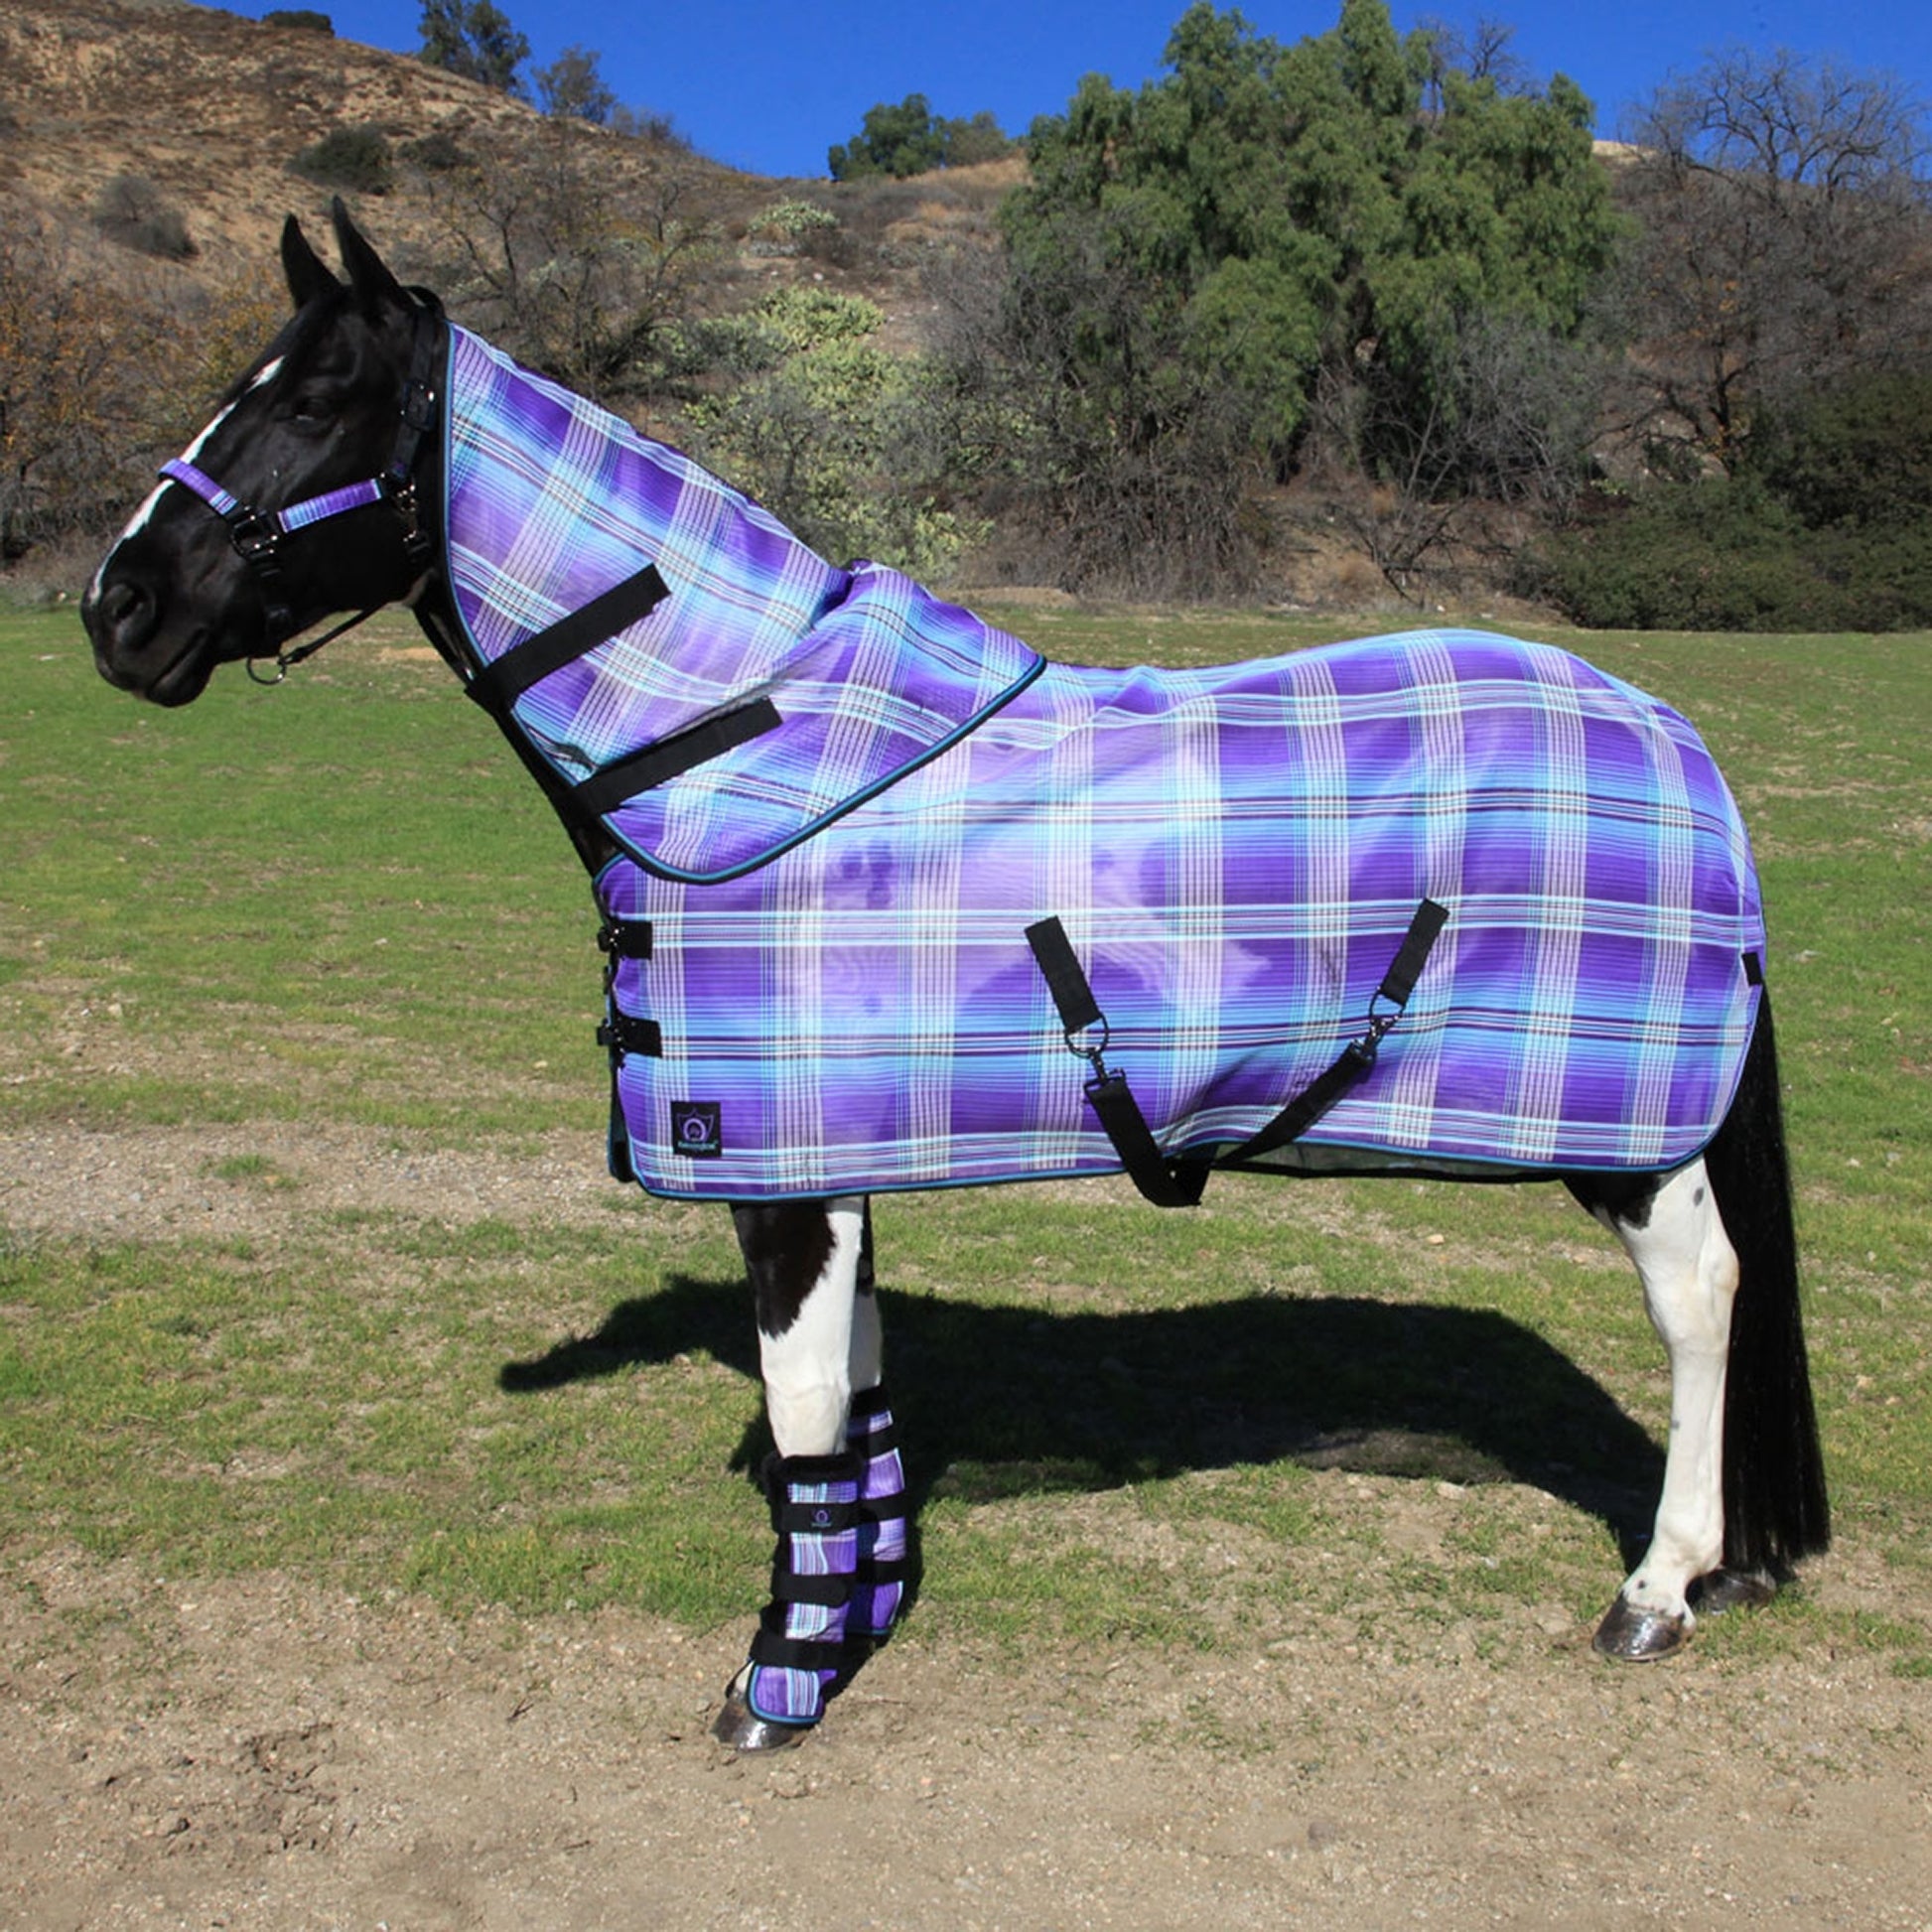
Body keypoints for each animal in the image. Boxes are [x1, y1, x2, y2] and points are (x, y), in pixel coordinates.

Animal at [83, 202, 1829, 1752]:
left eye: (312, 398)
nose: (119, 607)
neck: (727, 750)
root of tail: (1674, 734)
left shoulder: (776, 1175)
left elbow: (801, 1412)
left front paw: (778, 1683)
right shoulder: (831, 1159)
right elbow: (853, 1404)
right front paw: (854, 1612)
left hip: (1631, 1142)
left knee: (1702, 1296)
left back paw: (1656, 1588)